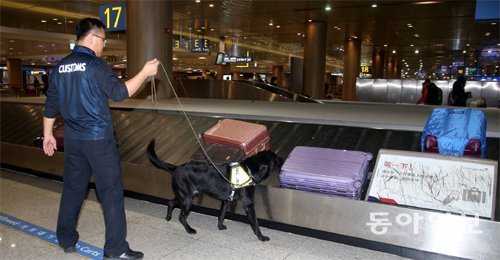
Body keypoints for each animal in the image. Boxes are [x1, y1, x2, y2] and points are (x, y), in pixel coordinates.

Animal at [146, 139, 284, 241]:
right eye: (276, 158)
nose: (283, 160)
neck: (249, 169)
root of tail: (176, 168)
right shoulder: (248, 205)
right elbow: (255, 223)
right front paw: (261, 237)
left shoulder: (226, 201)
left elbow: (221, 215)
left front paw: (220, 226)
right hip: (186, 200)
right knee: (181, 217)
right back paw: (189, 230)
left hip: (184, 196)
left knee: (170, 202)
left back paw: (168, 217)